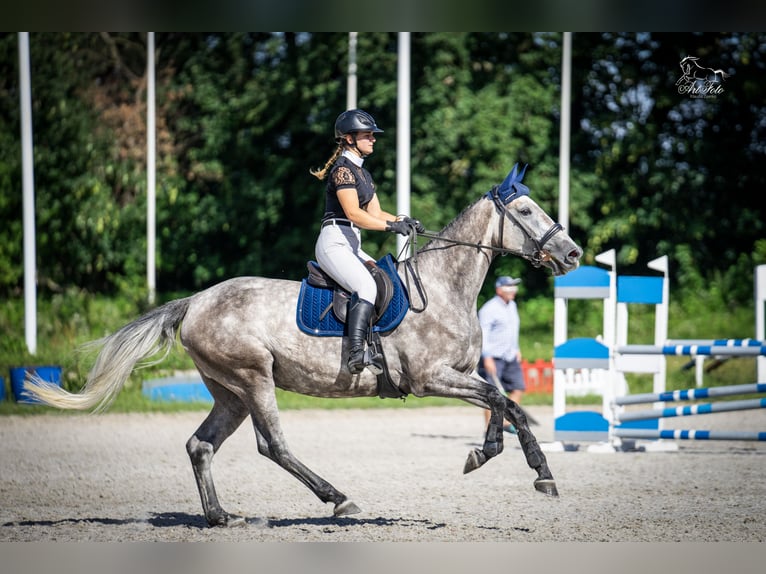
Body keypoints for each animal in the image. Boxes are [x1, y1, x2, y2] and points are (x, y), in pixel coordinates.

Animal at [27, 164, 584, 528]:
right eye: (527, 209)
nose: (573, 253)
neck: (444, 287)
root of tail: (196, 301)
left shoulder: (463, 374)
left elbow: (505, 405)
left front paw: (523, 467)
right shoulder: (432, 379)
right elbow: (500, 400)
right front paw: (508, 464)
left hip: (229, 392)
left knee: (200, 445)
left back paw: (220, 516)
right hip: (254, 378)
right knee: (273, 445)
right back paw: (338, 499)